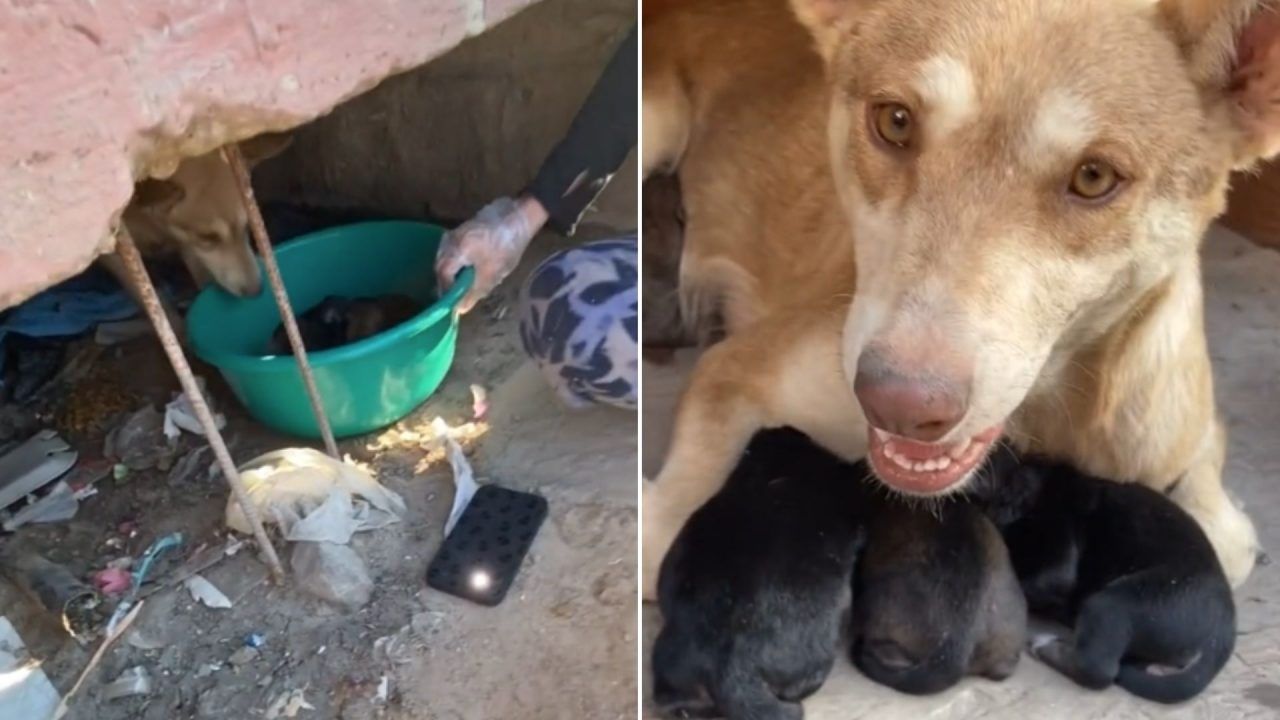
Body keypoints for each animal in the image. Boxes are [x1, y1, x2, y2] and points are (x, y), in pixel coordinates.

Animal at [645, 0, 1280, 594]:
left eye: (1094, 177)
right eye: (895, 121)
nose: (898, 405)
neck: (1051, 414)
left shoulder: (1187, 445)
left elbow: (1224, 534)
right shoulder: (733, 370)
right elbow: (665, 526)